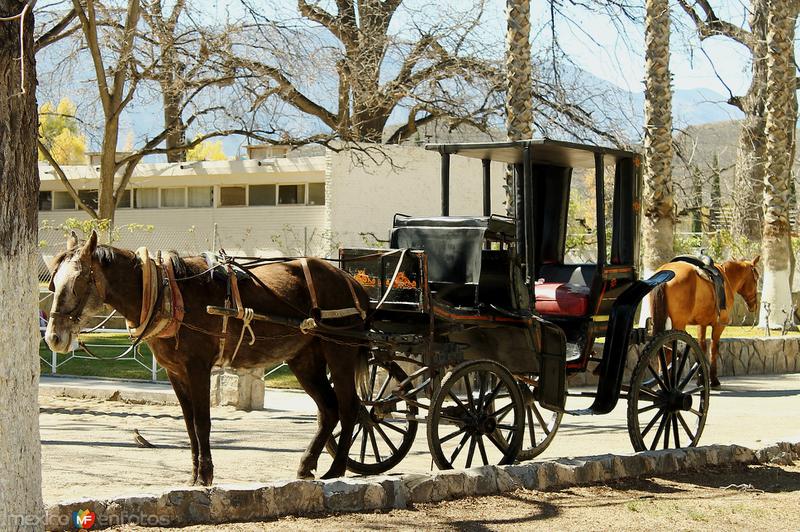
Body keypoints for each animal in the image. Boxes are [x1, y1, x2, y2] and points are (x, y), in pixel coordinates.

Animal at [44, 233, 368, 486]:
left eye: (78, 282)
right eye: (54, 283)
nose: (53, 338)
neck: (168, 294)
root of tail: (351, 281)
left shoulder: (197, 367)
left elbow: (202, 422)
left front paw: (206, 476)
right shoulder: (175, 372)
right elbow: (189, 425)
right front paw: (193, 476)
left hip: (340, 352)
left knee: (351, 409)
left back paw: (337, 469)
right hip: (304, 360)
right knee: (328, 410)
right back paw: (307, 465)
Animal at [648, 256, 760, 386]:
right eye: (756, 278)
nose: (754, 305)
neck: (727, 279)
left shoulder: (701, 324)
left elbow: (701, 347)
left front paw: (701, 378)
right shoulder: (718, 325)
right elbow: (713, 348)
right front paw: (714, 379)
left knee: (662, 348)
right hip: (678, 324)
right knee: (669, 349)